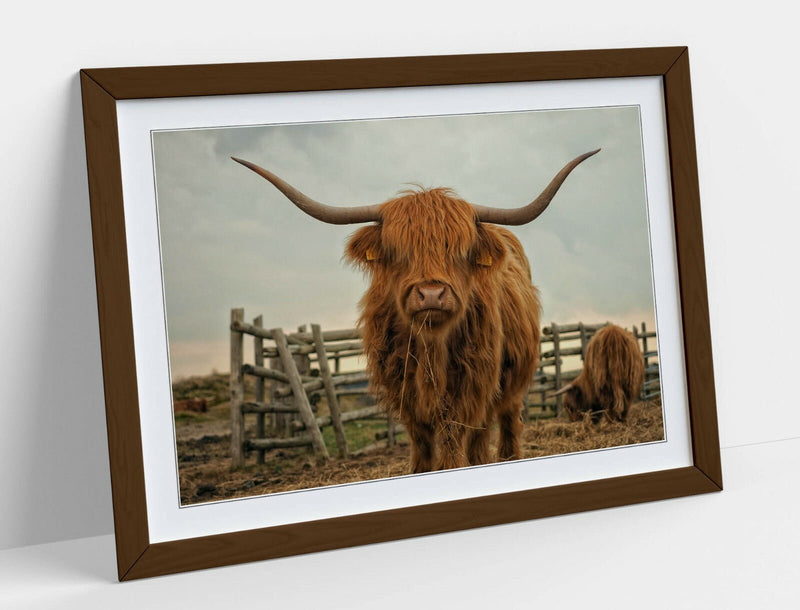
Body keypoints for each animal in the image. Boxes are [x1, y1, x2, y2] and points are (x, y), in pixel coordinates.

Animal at [233, 149, 599, 472]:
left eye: (460, 250)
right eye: (398, 250)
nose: (431, 294)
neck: (430, 349)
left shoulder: (467, 391)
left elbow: (453, 443)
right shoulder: (406, 398)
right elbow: (422, 448)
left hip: (511, 384)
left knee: (503, 427)